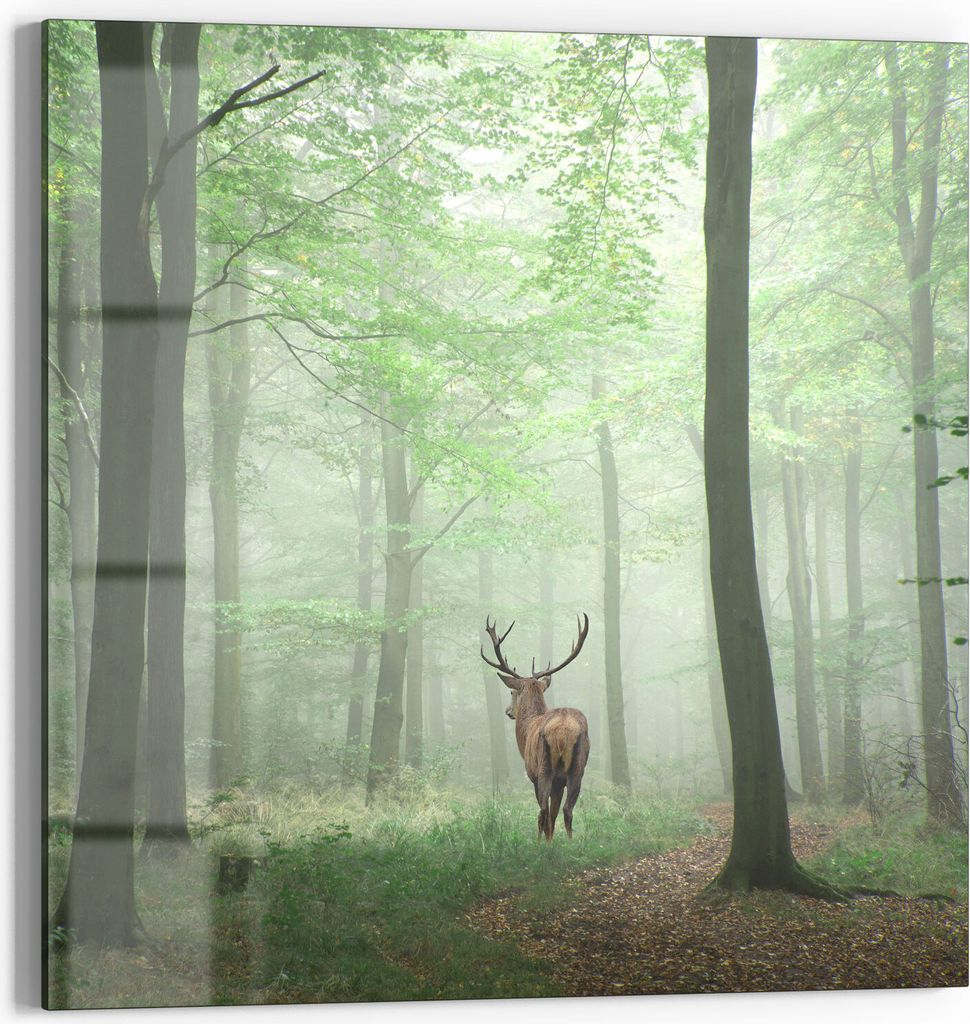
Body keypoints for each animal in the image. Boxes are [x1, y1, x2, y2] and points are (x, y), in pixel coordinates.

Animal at [481, 614, 591, 840]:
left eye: (512, 692)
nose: (508, 711)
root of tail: (563, 731)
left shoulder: (532, 773)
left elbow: (545, 813)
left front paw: (545, 842)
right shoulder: (559, 782)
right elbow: (554, 814)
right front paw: (551, 841)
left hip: (544, 766)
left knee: (542, 811)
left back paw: (539, 843)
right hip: (578, 766)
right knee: (567, 810)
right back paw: (571, 843)